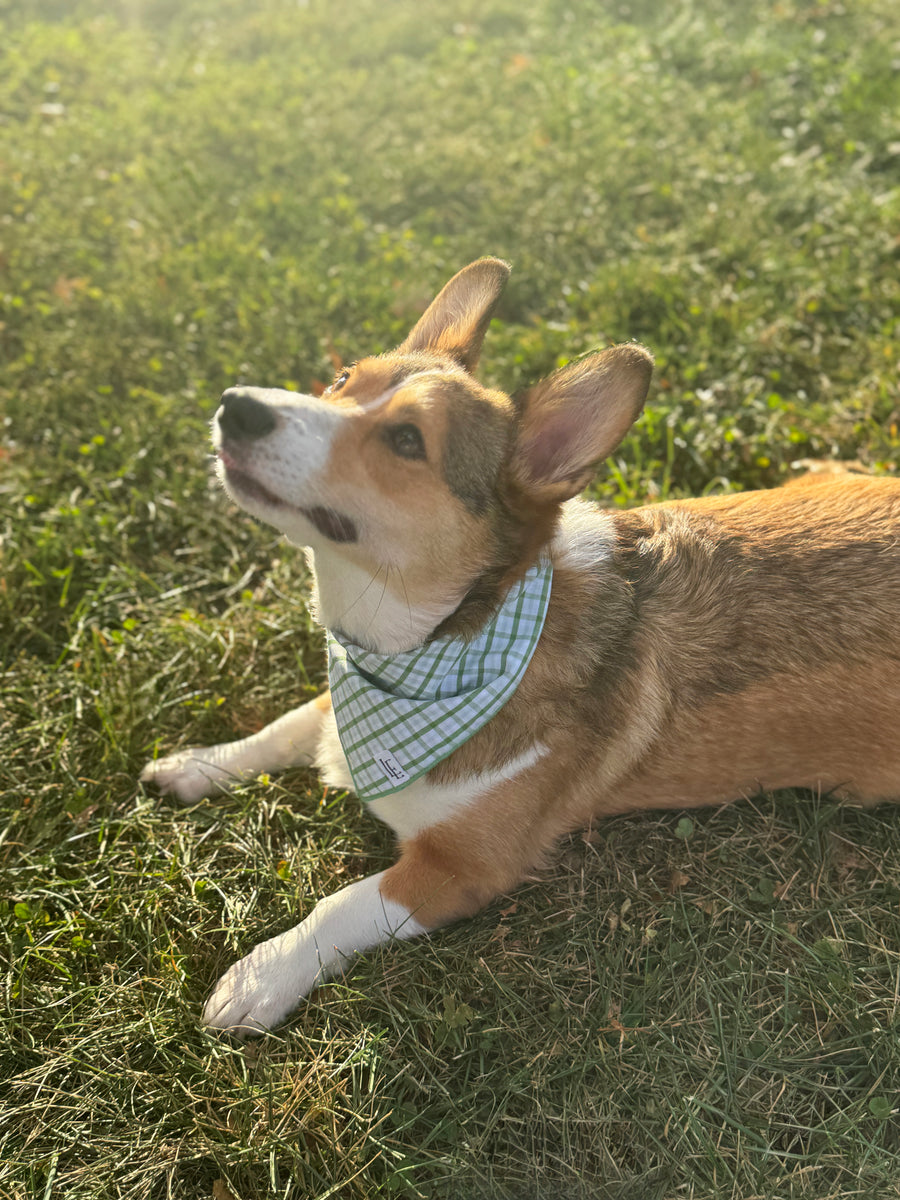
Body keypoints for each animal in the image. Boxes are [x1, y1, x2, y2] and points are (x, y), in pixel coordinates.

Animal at [139, 258, 900, 1036]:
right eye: (343, 377)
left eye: (407, 440)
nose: (236, 405)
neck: (445, 642)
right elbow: (283, 726)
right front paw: (195, 765)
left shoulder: (460, 870)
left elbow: (338, 905)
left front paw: (260, 978)